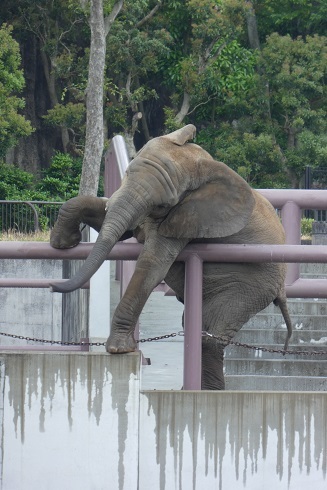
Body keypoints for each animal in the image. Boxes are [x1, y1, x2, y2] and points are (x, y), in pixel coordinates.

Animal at [50, 125, 292, 390]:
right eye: (128, 173)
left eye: (162, 204)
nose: (52, 286)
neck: (198, 161)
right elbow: (118, 226)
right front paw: (62, 242)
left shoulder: (188, 217)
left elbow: (151, 264)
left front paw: (118, 349)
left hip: (250, 287)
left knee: (209, 337)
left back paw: (205, 393)